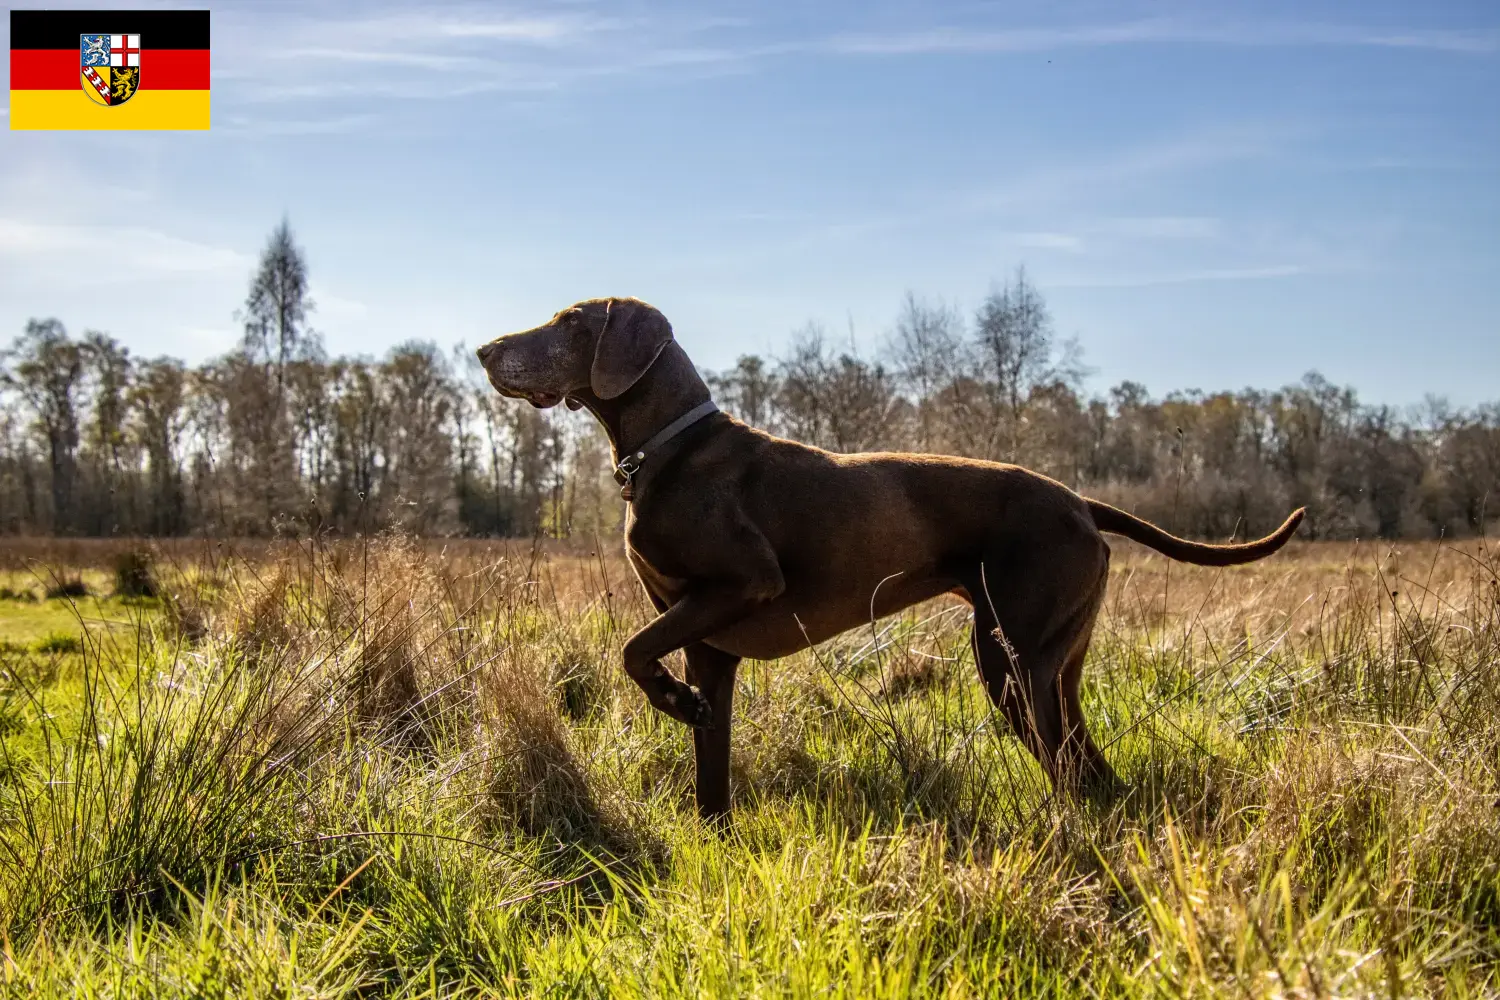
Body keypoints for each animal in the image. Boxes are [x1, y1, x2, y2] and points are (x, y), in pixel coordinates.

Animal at [480, 296, 1302, 821]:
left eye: (570, 322)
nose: (484, 349)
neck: (668, 449)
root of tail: (1078, 501)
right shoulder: (709, 646)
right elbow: (707, 768)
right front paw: (710, 827)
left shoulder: (741, 586)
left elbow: (631, 650)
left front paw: (672, 701)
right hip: (1048, 667)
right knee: (1088, 768)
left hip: (1016, 662)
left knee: (1068, 770)